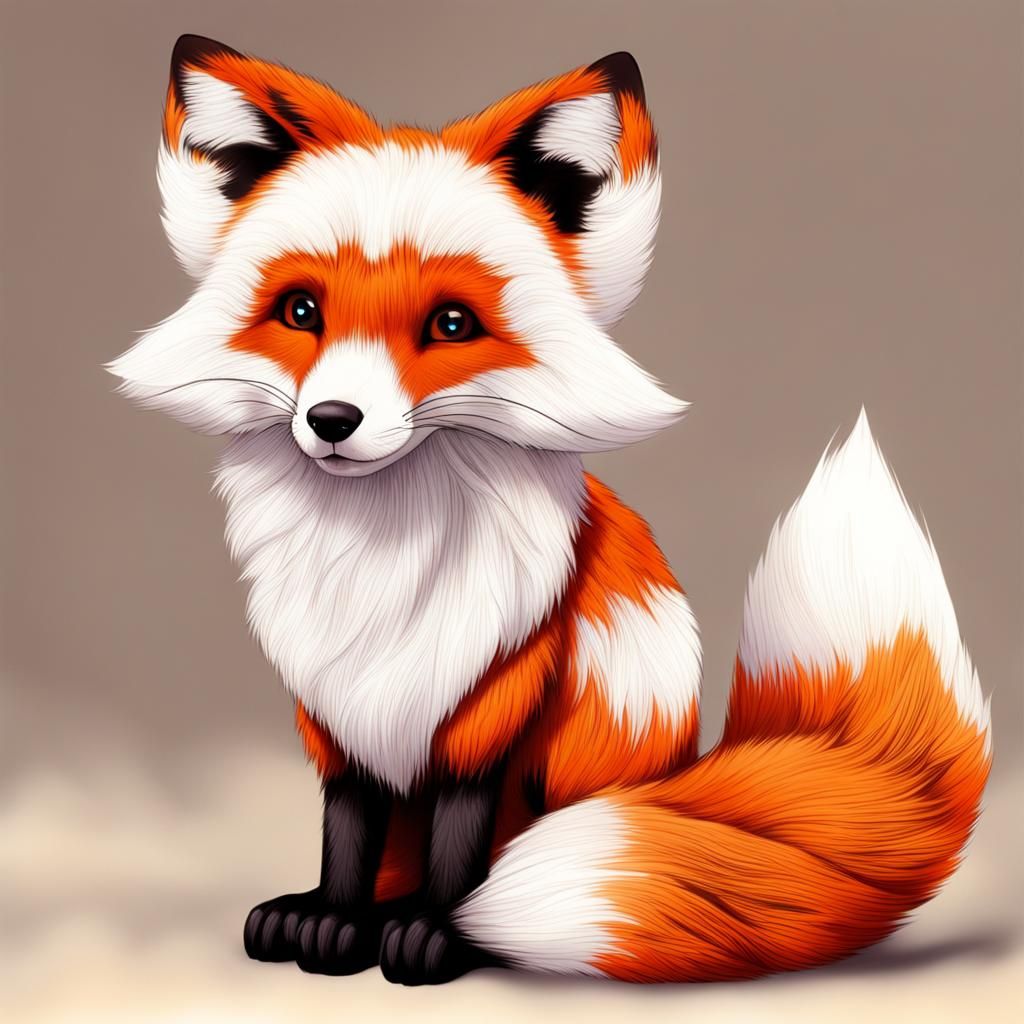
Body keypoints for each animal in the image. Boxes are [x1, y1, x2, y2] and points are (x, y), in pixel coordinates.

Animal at [108, 34, 991, 986]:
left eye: (452, 323)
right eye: (301, 310)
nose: (331, 421)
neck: (379, 562)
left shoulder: (495, 699)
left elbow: (460, 843)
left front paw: (440, 933)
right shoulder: (333, 712)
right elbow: (347, 826)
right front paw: (334, 918)